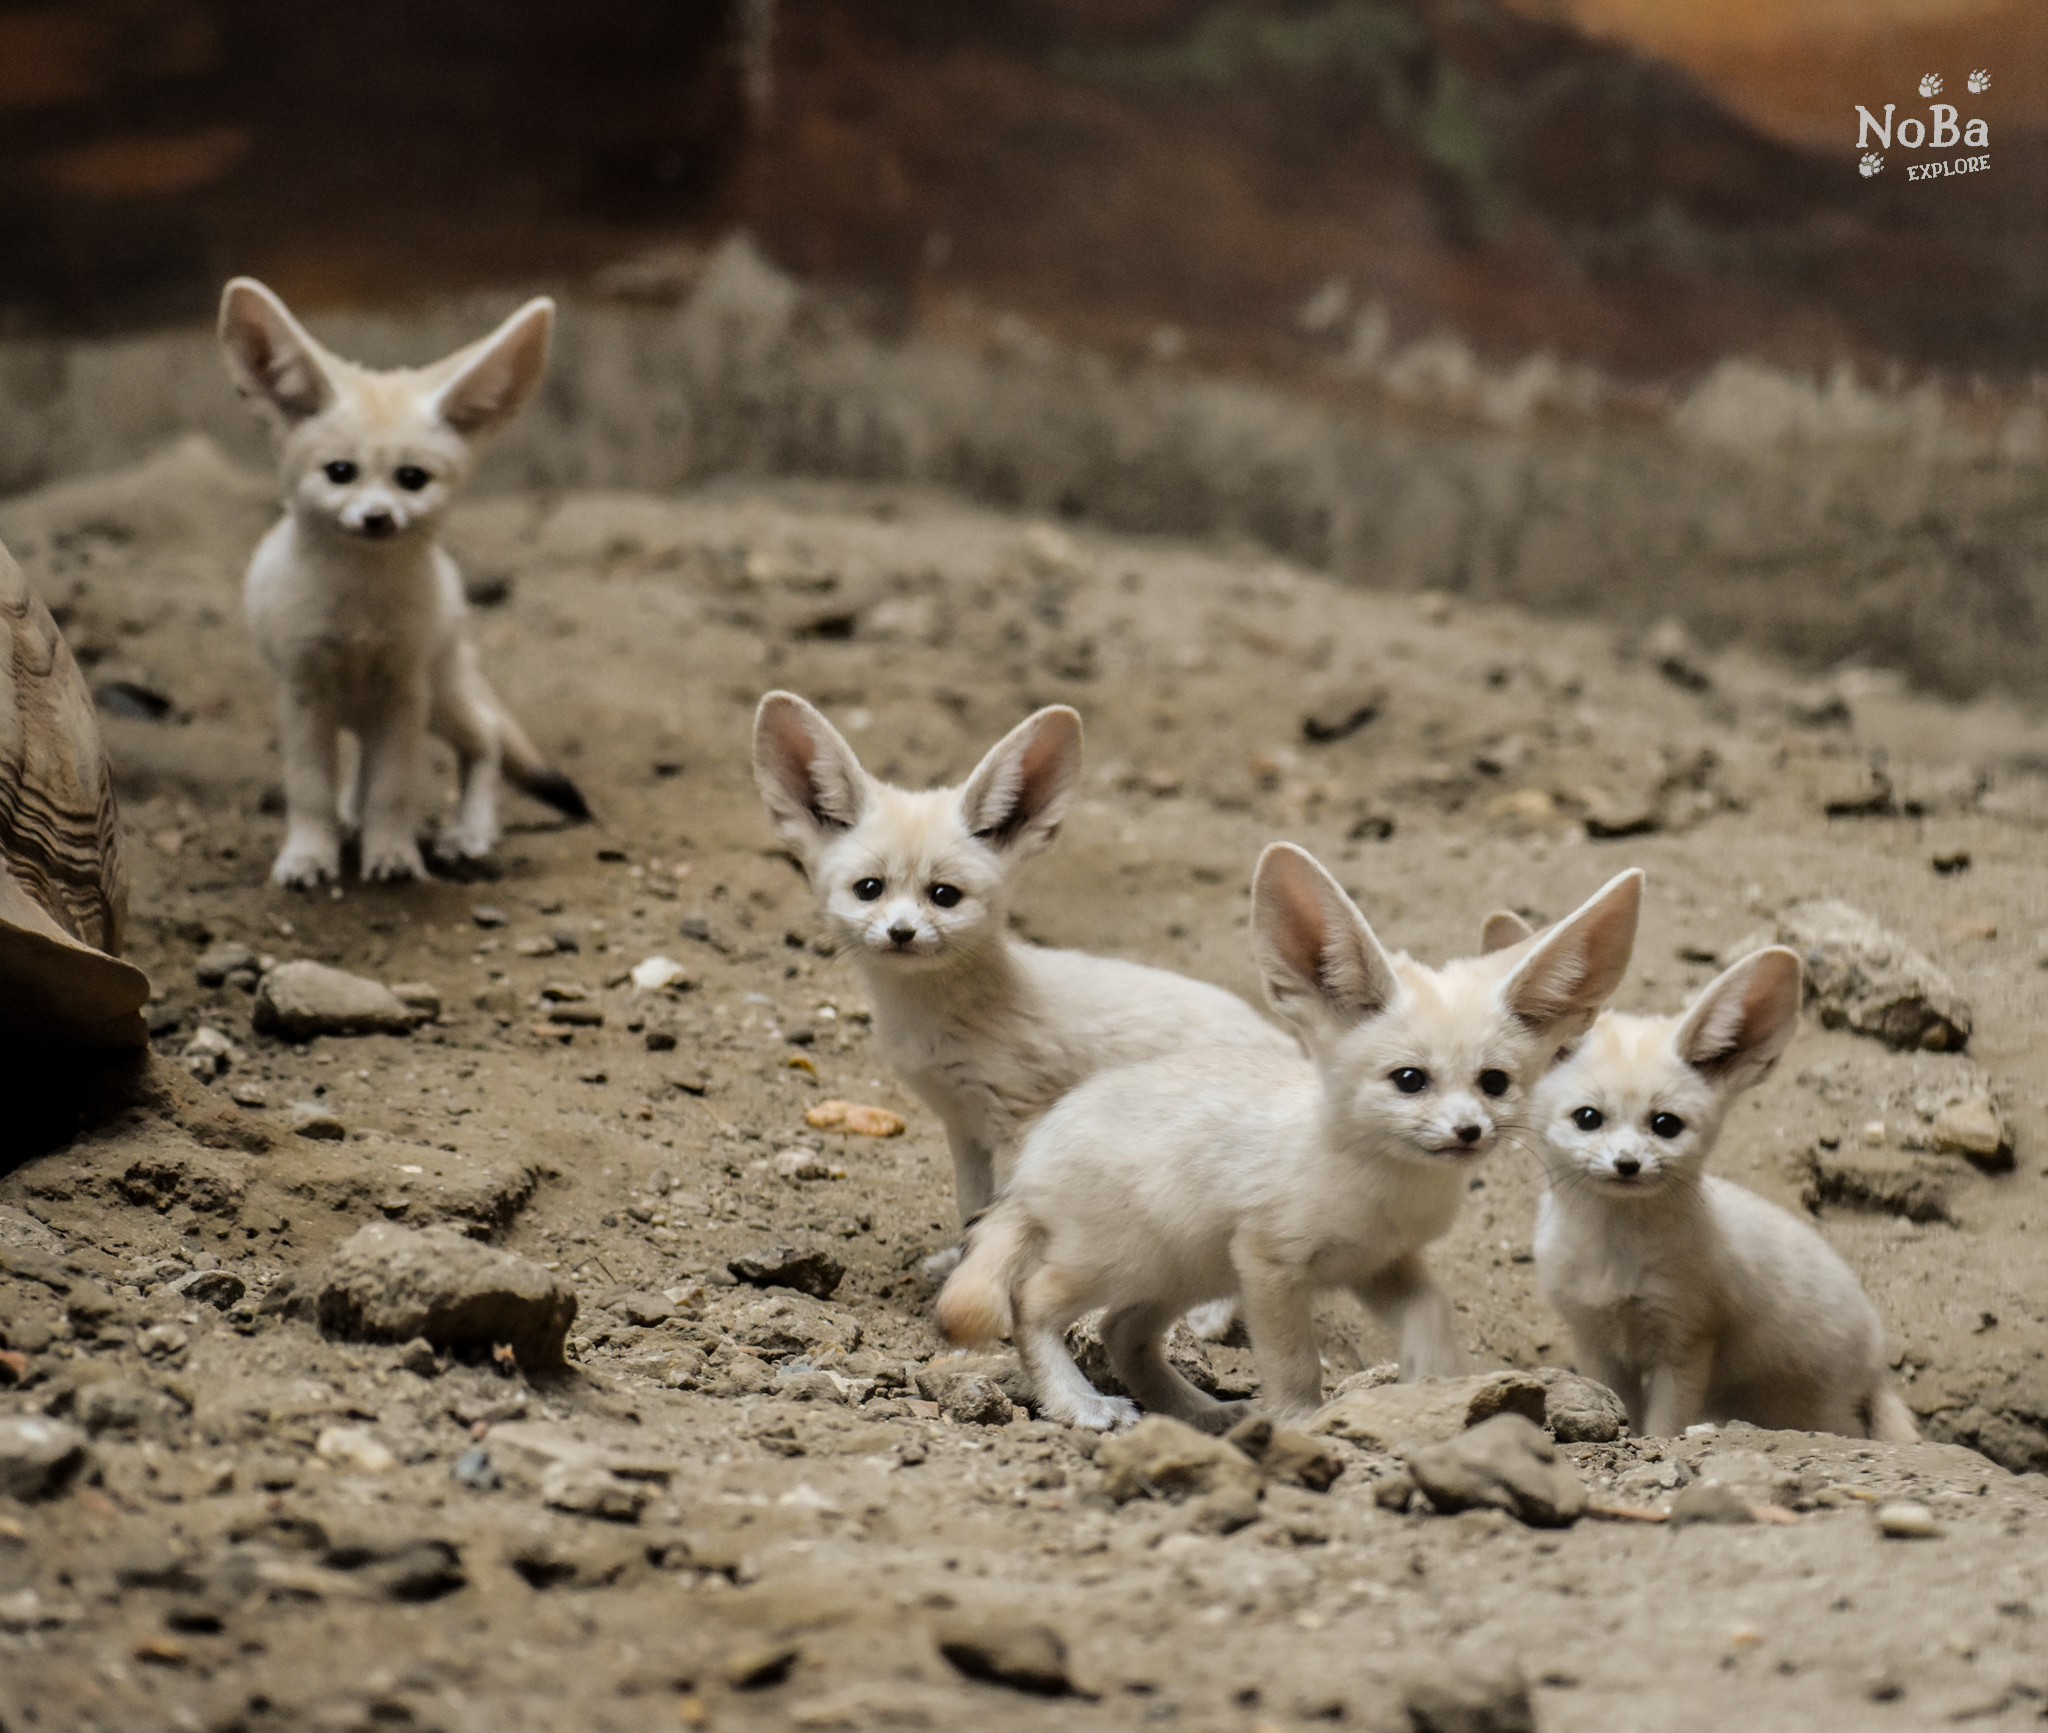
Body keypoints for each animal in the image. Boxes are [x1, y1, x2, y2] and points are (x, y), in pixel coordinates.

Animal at [218, 278, 589, 888]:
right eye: (339, 473)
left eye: (411, 479)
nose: (377, 518)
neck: (358, 615)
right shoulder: (302, 692)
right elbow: (311, 790)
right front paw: (308, 856)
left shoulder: (403, 693)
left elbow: (394, 790)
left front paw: (392, 855)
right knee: (366, 765)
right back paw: (351, 820)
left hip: (440, 695)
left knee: (486, 734)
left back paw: (469, 831)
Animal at [752, 692, 1297, 1267]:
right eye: (869, 889)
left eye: (944, 895)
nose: (901, 933)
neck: (932, 1019)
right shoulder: (963, 1125)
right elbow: (972, 1204)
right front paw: (958, 1261)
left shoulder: (1021, 1119)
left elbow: (1011, 1214)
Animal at [937, 845, 1644, 1431]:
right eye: (1409, 1080)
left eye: (1494, 1082)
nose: (1469, 1131)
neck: (1381, 1183)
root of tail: (1031, 1166)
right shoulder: (1269, 1263)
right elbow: (1293, 1359)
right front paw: (1303, 1421)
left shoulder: (1381, 1262)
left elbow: (1434, 1312)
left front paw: (1435, 1380)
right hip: (1124, 1260)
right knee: (1031, 1302)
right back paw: (1079, 1404)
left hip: (1185, 1270)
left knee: (1122, 1332)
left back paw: (1200, 1412)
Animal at [1513, 937, 1920, 1442]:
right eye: (1587, 1118)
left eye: (1665, 1125)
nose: (1627, 1164)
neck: (1614, 1257)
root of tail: (1876, 1365)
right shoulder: (1595, 1339)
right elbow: (1625, 1413)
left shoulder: (1686, 1341)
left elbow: (1664, 1428)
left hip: (1816, 1411)